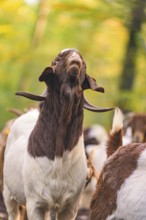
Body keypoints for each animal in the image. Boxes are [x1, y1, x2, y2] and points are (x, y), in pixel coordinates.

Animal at [2, 48, 113, 220]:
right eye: (57, 60)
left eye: (84, 63)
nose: (75, 61)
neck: (59, 157)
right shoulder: (36, 204)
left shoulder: (70, 206)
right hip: (9, 194)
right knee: (13, 212)